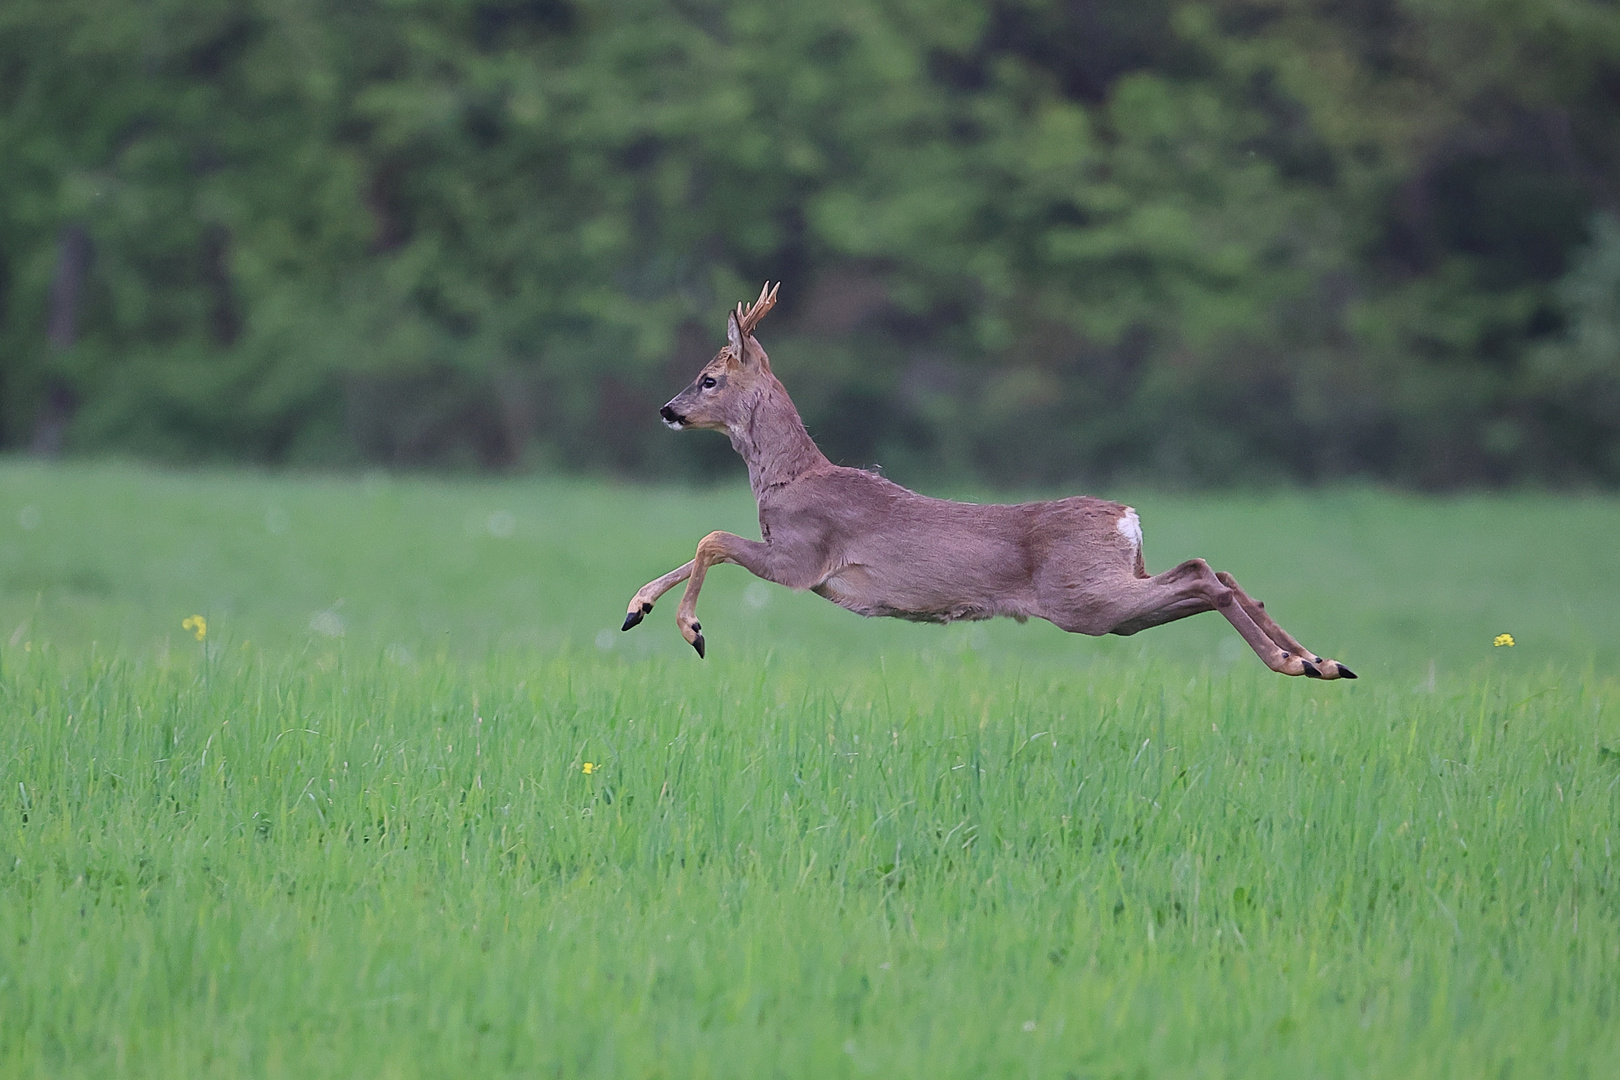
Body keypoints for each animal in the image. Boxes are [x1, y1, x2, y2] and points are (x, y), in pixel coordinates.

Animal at [618, 283, 1354, 680]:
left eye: (708, 378)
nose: (666, 410)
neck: (789, 477)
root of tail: (1127, 515)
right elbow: (701, 547)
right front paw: (635, 610)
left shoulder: (803, 559)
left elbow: (711, 538)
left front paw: (692, 631)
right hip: (1112, 595)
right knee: (1213, 572)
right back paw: (1321, 662)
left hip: (1086, 598)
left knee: (1205, 576)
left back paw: (1298, 663)